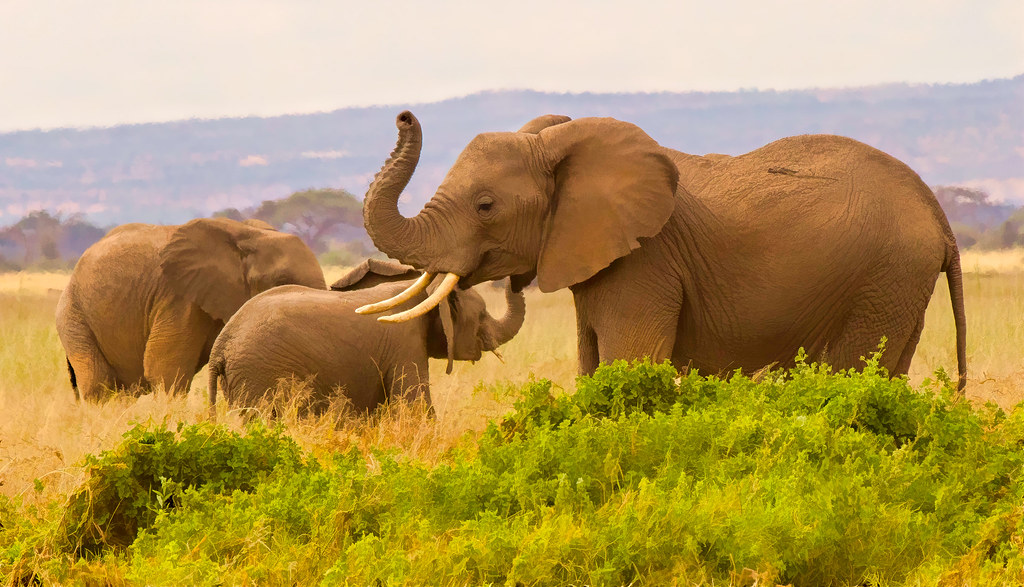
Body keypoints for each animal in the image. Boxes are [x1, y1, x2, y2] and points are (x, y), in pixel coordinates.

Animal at [55, 217, 326, 400]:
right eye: (282, 281)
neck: (249, 236)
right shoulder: (178, 297)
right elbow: (165, 371)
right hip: (73, 317)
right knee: (99, 386)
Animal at [357, 111, 968, 391]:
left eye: (485, 206)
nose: (404, 115)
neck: (560, 145)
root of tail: (938, 214)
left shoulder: (645, 262)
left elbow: (629, 362)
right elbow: (592, 365)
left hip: (882, 279)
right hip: (898, 287)